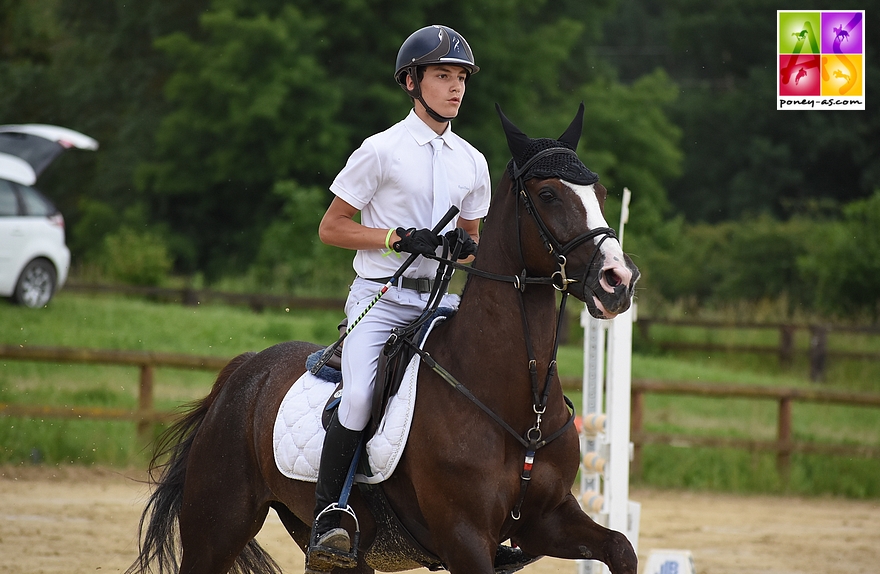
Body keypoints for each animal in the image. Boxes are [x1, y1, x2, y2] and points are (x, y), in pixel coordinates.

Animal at [125, 106, 640, 574]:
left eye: (600, 193)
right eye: (548, 194)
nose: (618, 280)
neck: (517, 401)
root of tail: (245, 371)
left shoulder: (547, 520)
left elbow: (621, 547)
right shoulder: (464, 537)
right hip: (217, 525)